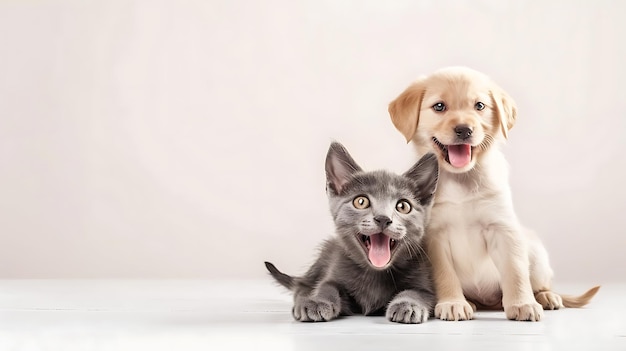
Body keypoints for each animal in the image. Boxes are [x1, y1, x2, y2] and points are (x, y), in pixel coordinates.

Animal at [266, 142, 436, 324]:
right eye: (361, 202)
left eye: (403, 206)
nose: (383, 218)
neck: (375, 273)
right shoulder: (334, 272)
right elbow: (327, 286)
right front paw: (317, 301)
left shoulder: (425, 283)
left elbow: (417, 292)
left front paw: (408, 305)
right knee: (301, 285)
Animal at [388, 66, 596, 322]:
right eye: (439, 106)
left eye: (479, 106)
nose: (464, 130)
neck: (461, 179)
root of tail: (489, 302)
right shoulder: (434, 238)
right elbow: (444, 274)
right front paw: (453, 303)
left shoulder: (503, 229)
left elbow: (515, 270)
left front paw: (523, 303)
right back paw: (470, 302)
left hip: (536, 254)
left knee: (539, 282)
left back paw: (546, 296)